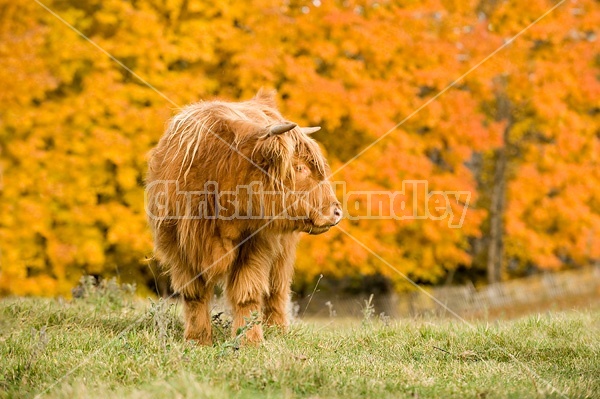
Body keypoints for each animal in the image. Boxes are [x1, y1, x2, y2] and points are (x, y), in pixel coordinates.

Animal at [146, 89, 342, 346]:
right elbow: (194, 294)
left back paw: (278, 329)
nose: (337, 211)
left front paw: (249, 340)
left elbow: (247, 293)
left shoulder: (257, 244)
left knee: (278, 287)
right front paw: (197, 340)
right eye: (299, 168)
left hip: (284, 248)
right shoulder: (178, 246)